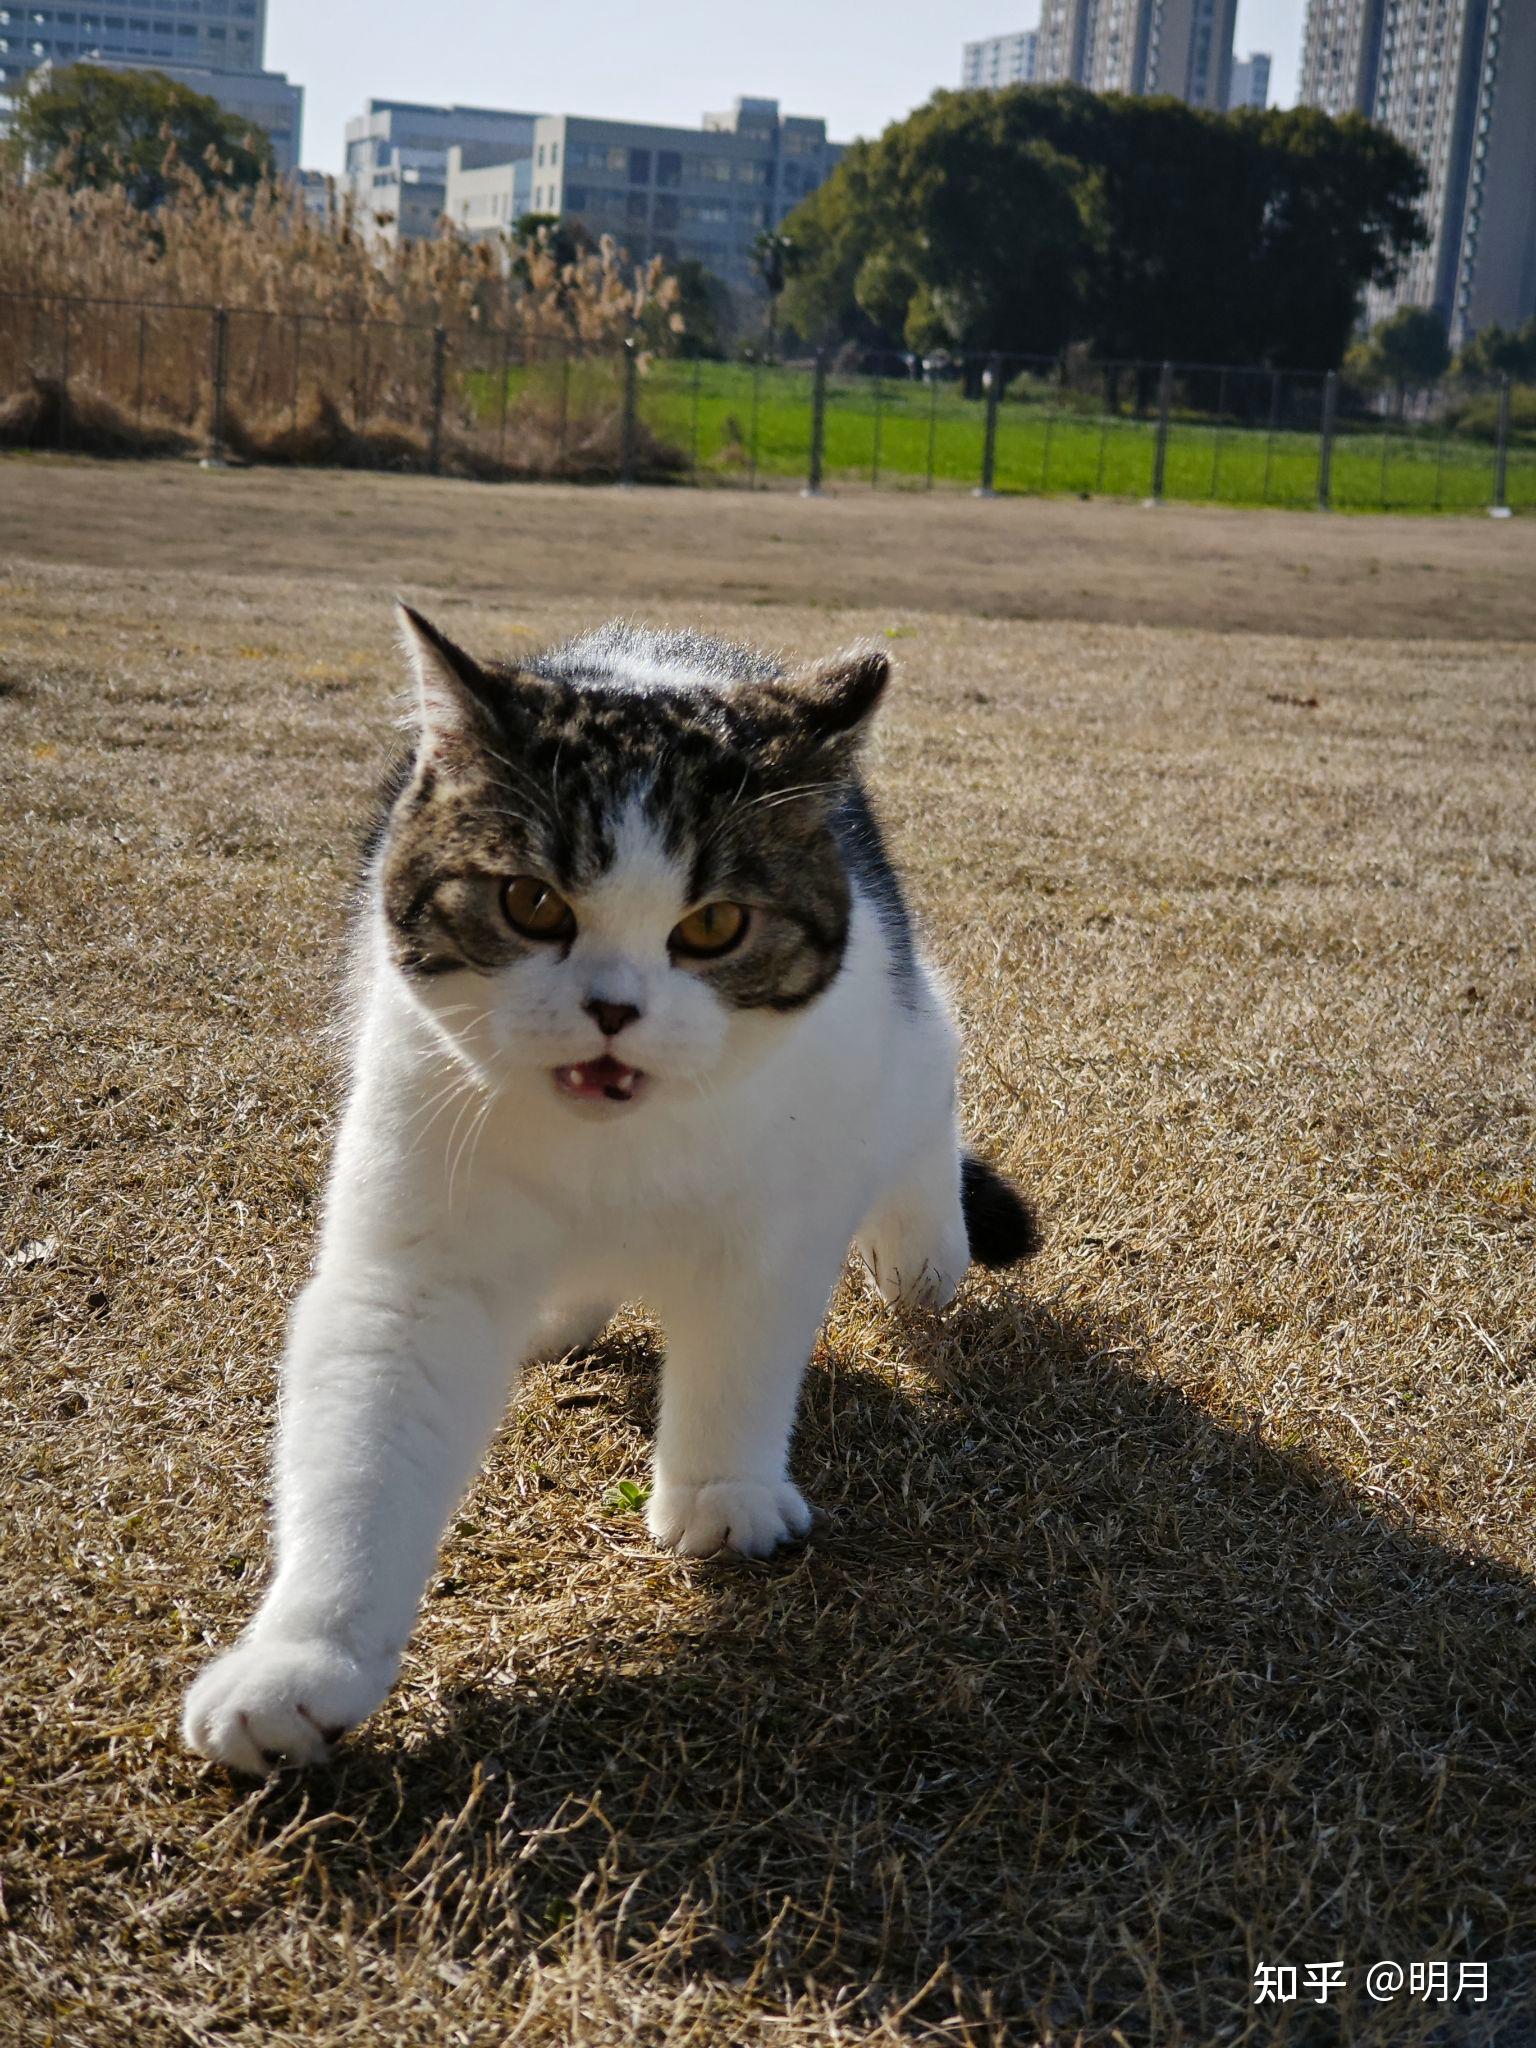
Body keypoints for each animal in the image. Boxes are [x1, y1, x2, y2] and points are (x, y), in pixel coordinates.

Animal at [183, 606, 1048, 1777]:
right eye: (529, 901)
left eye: (715, 925)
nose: (612, 1008)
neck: (617, 1149)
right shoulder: (417, 1255)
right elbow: (366, 1446)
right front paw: (300, 1662)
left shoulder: (779, 1210)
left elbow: (740, 1350)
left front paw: (722, 1494)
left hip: (896, 1029)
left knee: (927, 1080)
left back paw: (925, 1246)